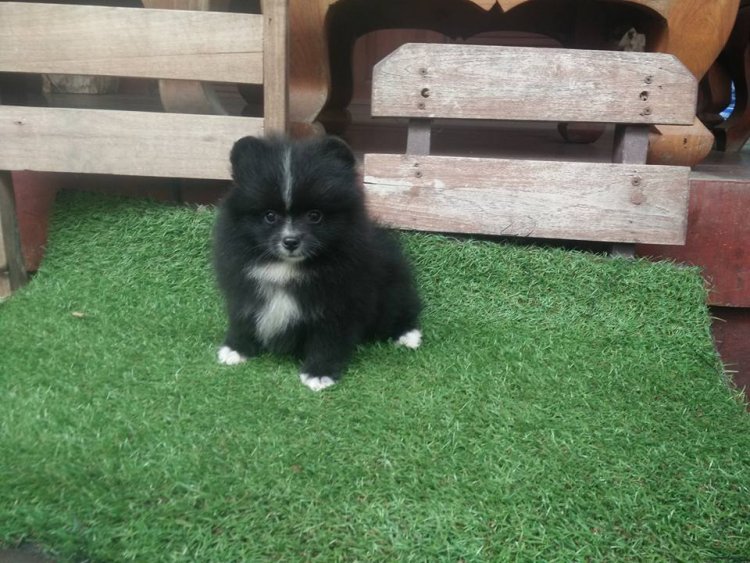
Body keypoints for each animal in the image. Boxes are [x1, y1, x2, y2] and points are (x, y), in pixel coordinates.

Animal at [212, 135, 422, 391]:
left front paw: (319, 373)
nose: (290, 241)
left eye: (315, 216)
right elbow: (242, 316)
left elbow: (327, 338)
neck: (287, 266)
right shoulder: (244, 287)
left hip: (391, 285)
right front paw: (237, 348)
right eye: (269, 216)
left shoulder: (339, 301)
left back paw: (407, 334)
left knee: (398, 308)